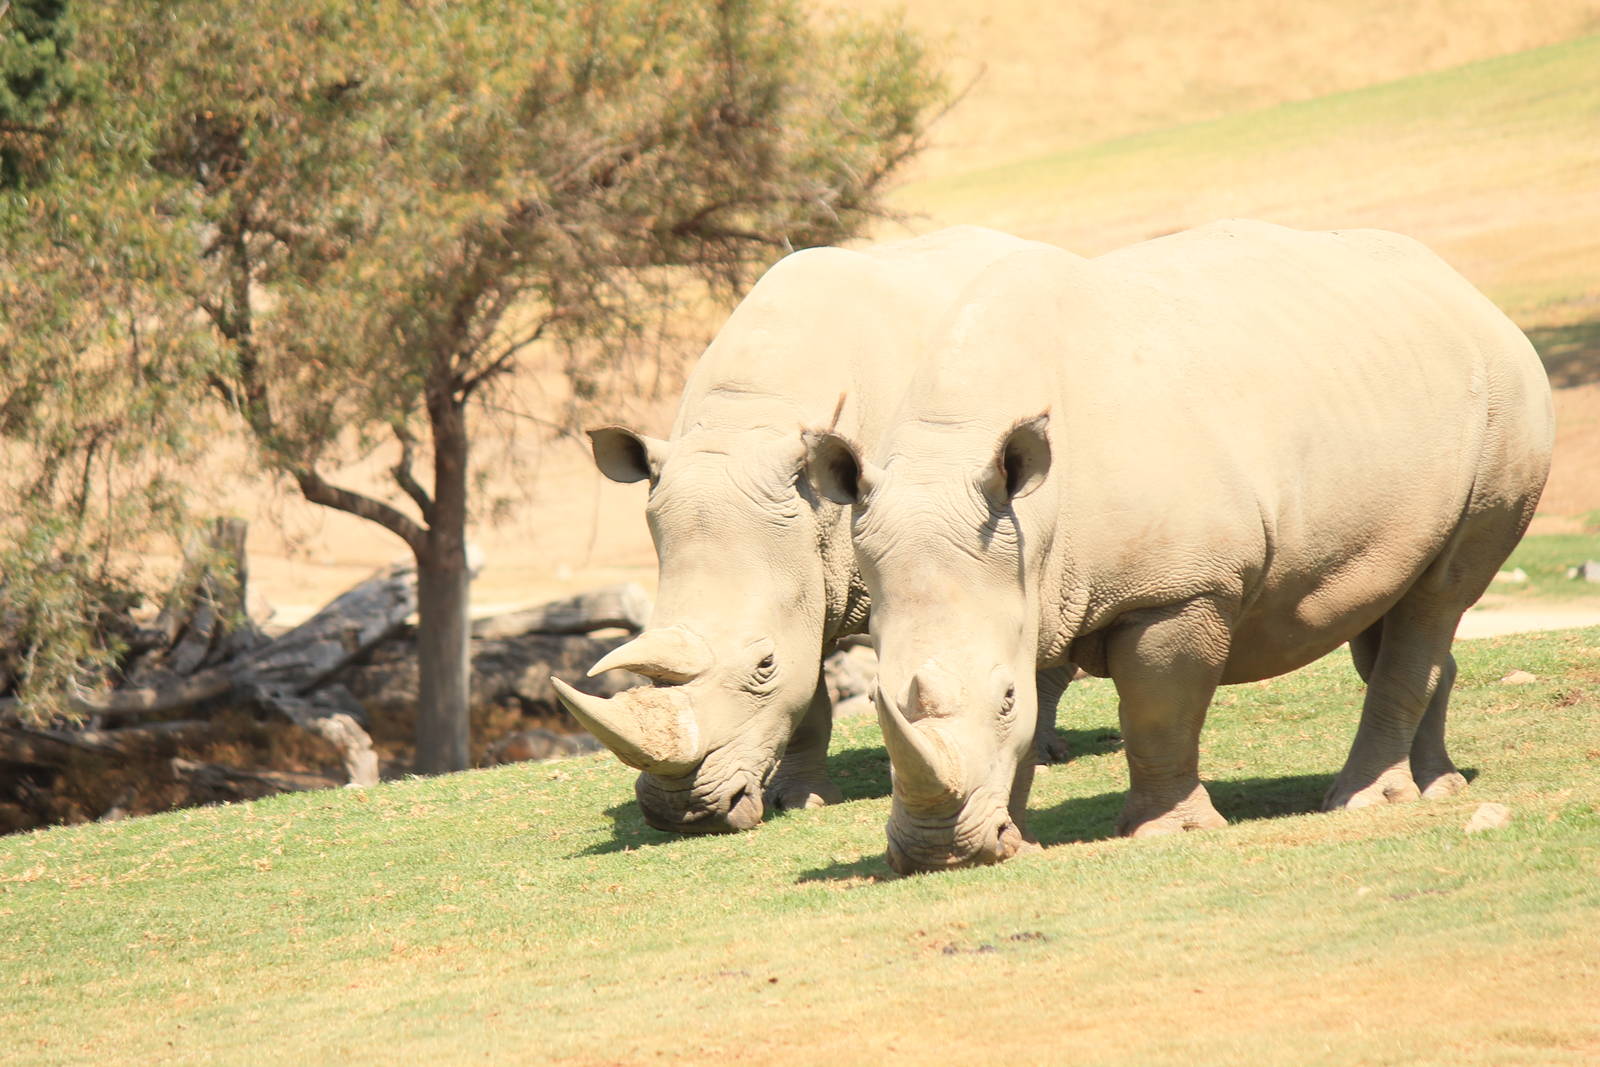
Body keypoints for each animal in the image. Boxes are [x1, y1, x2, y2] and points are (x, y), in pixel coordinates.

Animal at [551, 226, 1072, 834]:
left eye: (764, 665)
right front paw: (802, 797)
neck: (746, 424)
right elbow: (810, 700)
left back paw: (1047, 754)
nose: (684, 814)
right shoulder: (802, 567)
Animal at [805, 219, 1554, 874]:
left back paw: (1363, 801)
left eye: (1005, 697)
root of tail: (1469, 294)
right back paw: (1438, 786)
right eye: (876, 700)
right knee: (1395, 604)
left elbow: (1157, 711)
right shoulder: (1030, 581)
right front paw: (1015, 837)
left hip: (1509, 402)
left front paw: (1166, 830)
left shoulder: (1179, 588)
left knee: (1439, 595)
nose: (938, 854)